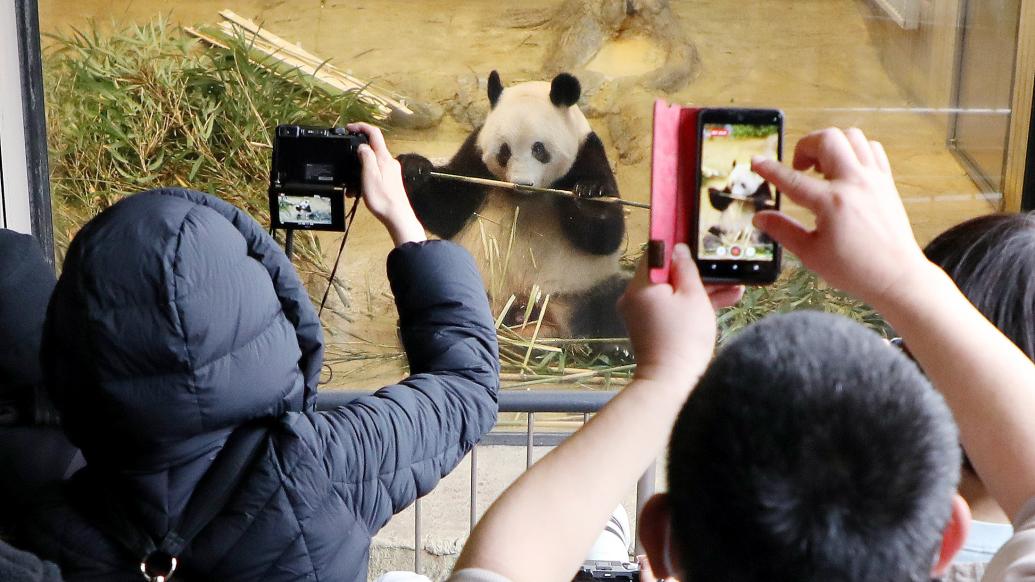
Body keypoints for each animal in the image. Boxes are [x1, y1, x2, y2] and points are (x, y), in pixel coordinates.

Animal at [399, 71, 629, 339]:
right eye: (504, 151)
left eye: (539, 149)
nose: (522, 183)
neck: (527, 198)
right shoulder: (475, 156)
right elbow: (447, 210)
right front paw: (414, 169)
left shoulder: (587, 153)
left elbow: (605, 236)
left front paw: (589, 193)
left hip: (578, 287)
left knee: (614, 301)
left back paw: (615, 343)